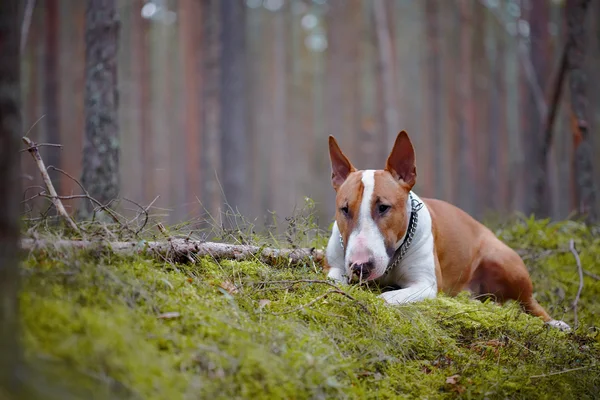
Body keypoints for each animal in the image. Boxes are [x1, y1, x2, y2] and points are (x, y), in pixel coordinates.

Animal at [326, 130, 568, 330]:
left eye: (383, 207)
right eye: (345, 209)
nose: (360, 267)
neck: (392, 260)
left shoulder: (426, 285)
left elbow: (386, 298)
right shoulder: (336, 266)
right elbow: (333, 279)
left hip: (504, 262)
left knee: (530, 303)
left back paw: (555, 323)